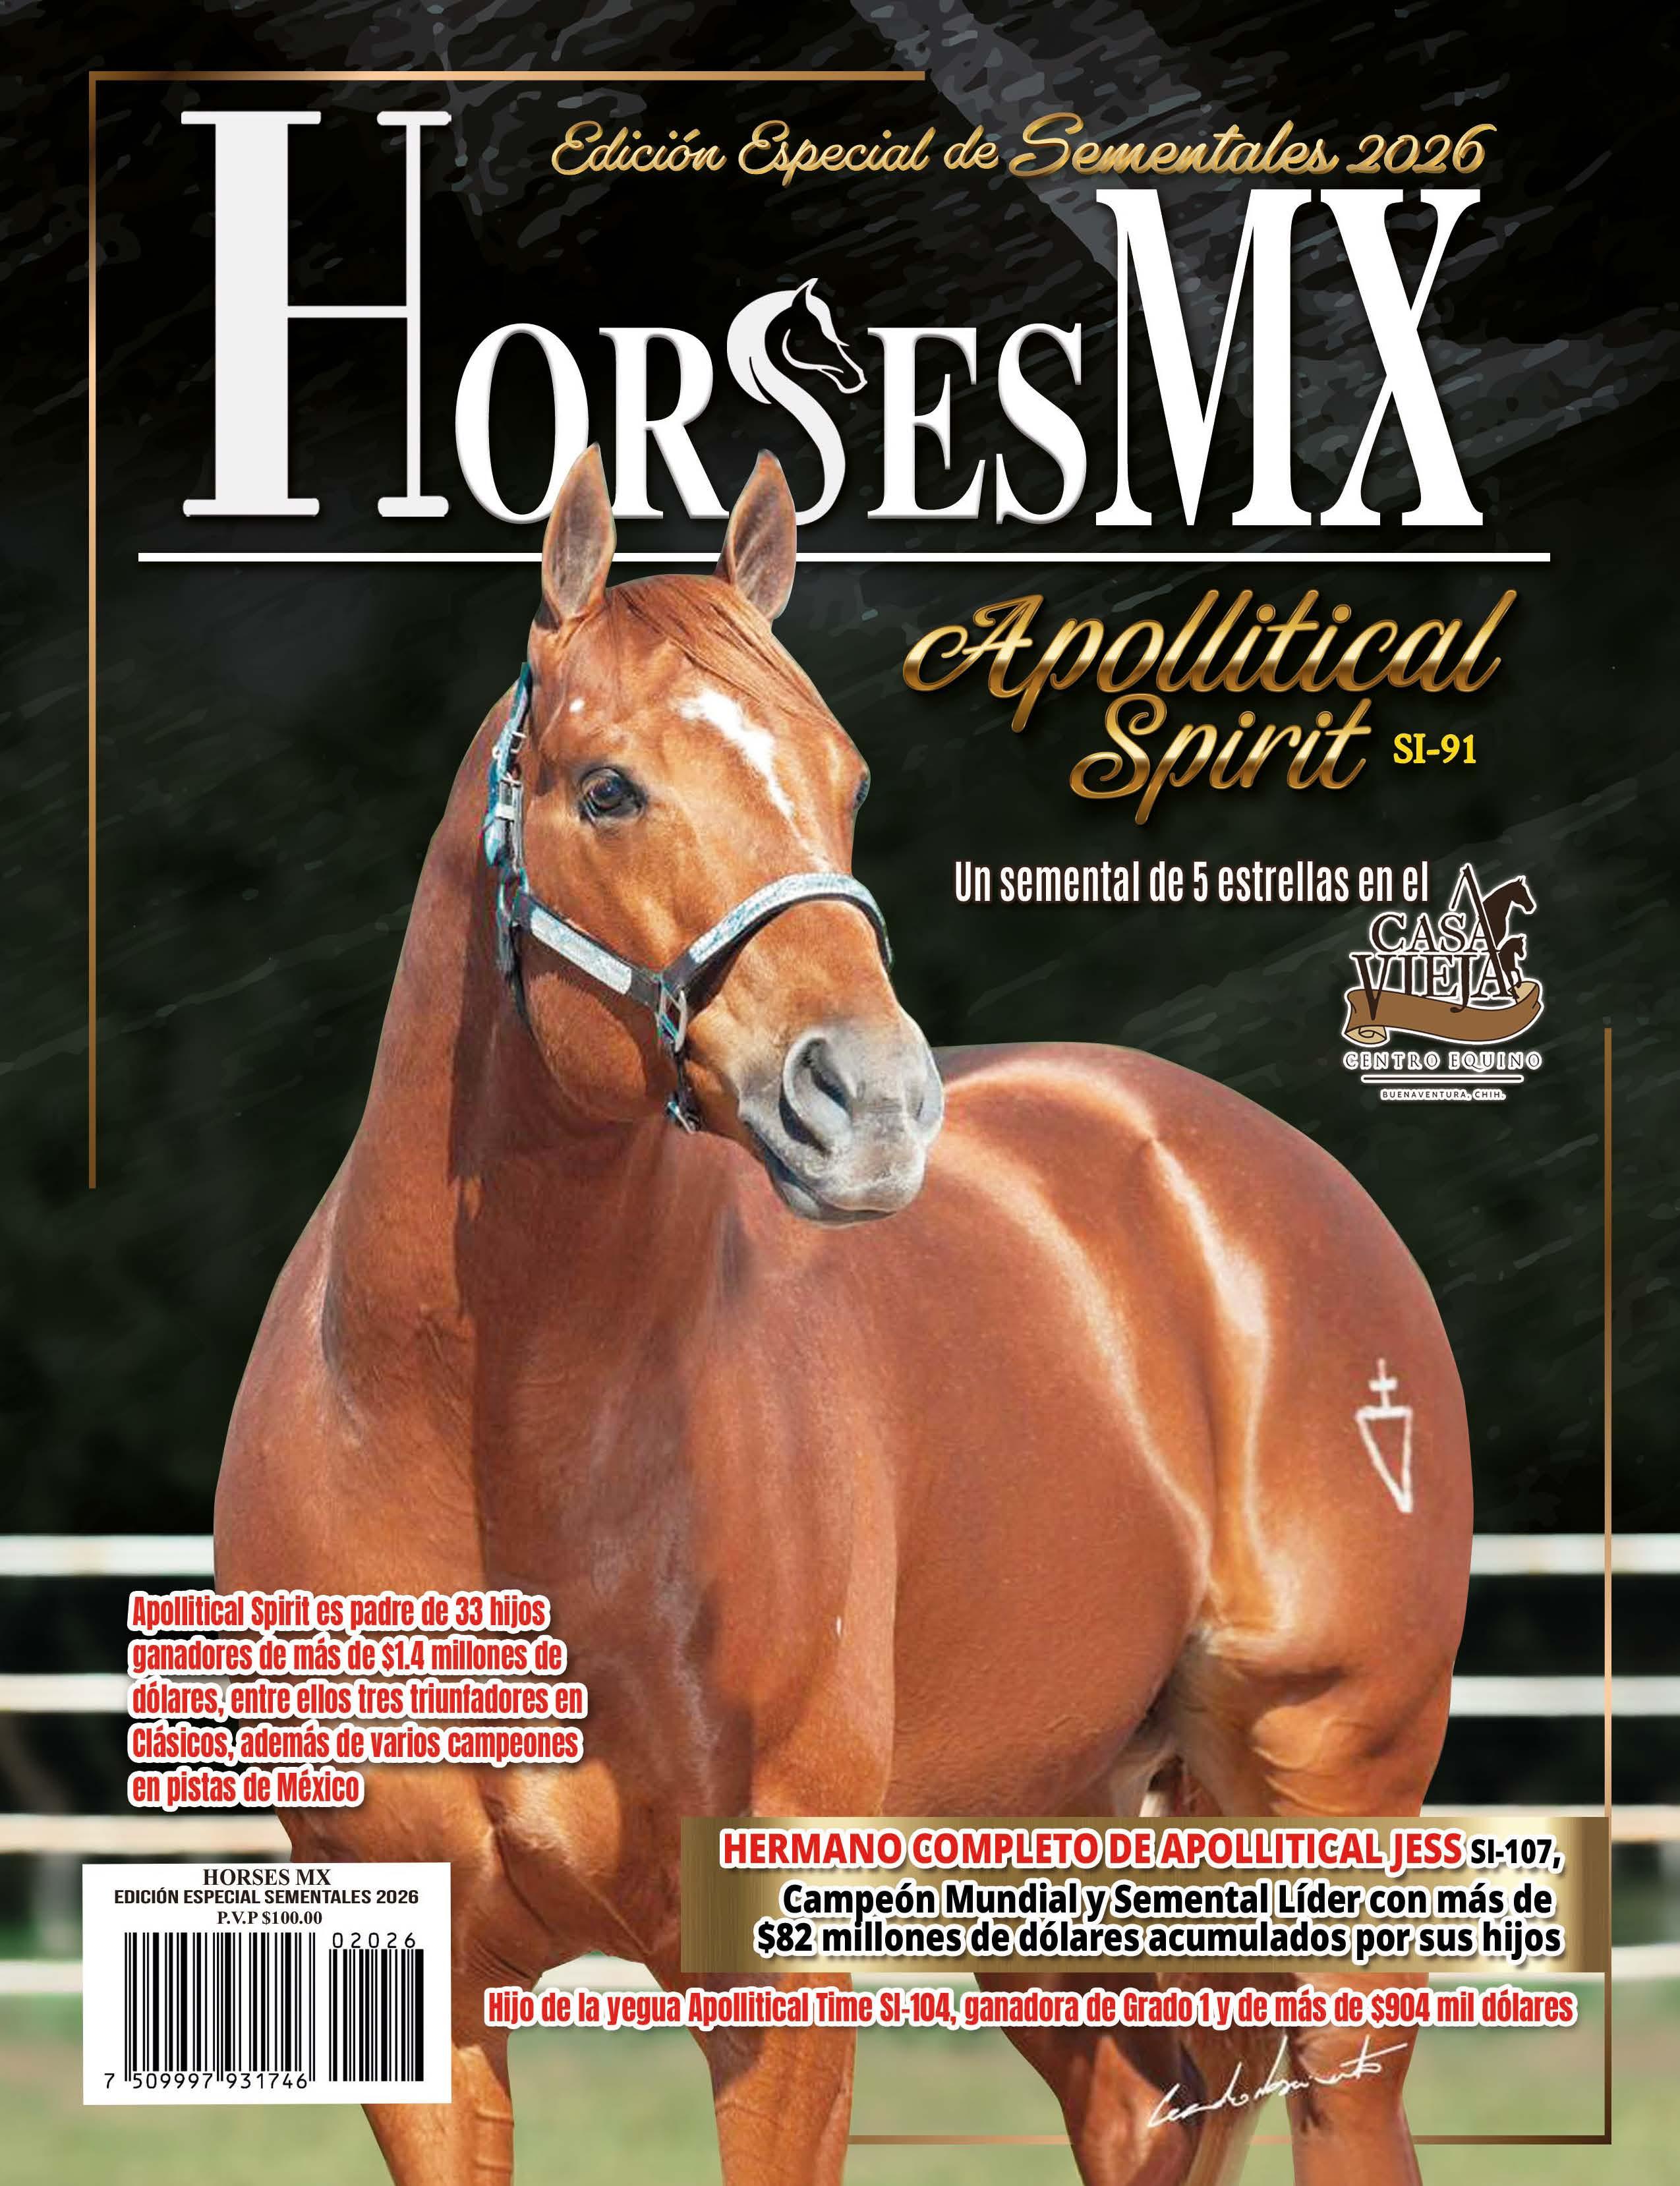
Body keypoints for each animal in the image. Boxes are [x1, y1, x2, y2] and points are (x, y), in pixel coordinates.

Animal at [216, 444, 1472, 2186]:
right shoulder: (424, 2005)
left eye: (846, 779)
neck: (473, 1443)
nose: (872, 1106)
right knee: (1141, 2099)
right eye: (607, 786)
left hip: (1325, 1815)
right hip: (1041, 1862)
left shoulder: (777, 1988)